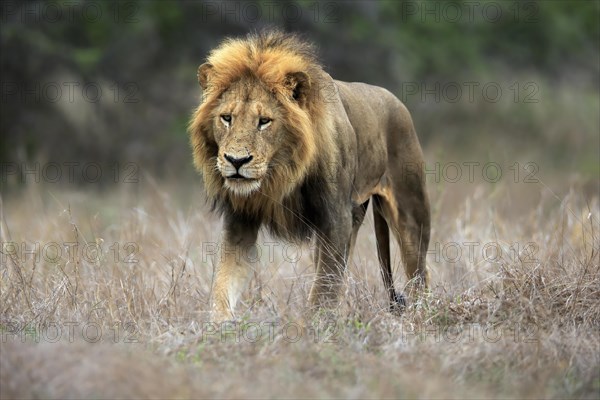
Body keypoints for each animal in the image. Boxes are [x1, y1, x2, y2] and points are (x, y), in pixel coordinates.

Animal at [190, 29, 428, 322]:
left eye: (264, 121)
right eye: (226, 118)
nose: (236, 161)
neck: (282, 173)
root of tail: (394, 99)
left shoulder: (335, 219)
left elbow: (322, 291)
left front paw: (312, 328)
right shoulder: (240, 221)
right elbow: (224, 283)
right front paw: (219, 328)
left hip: (410, 215)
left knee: (420, 274)